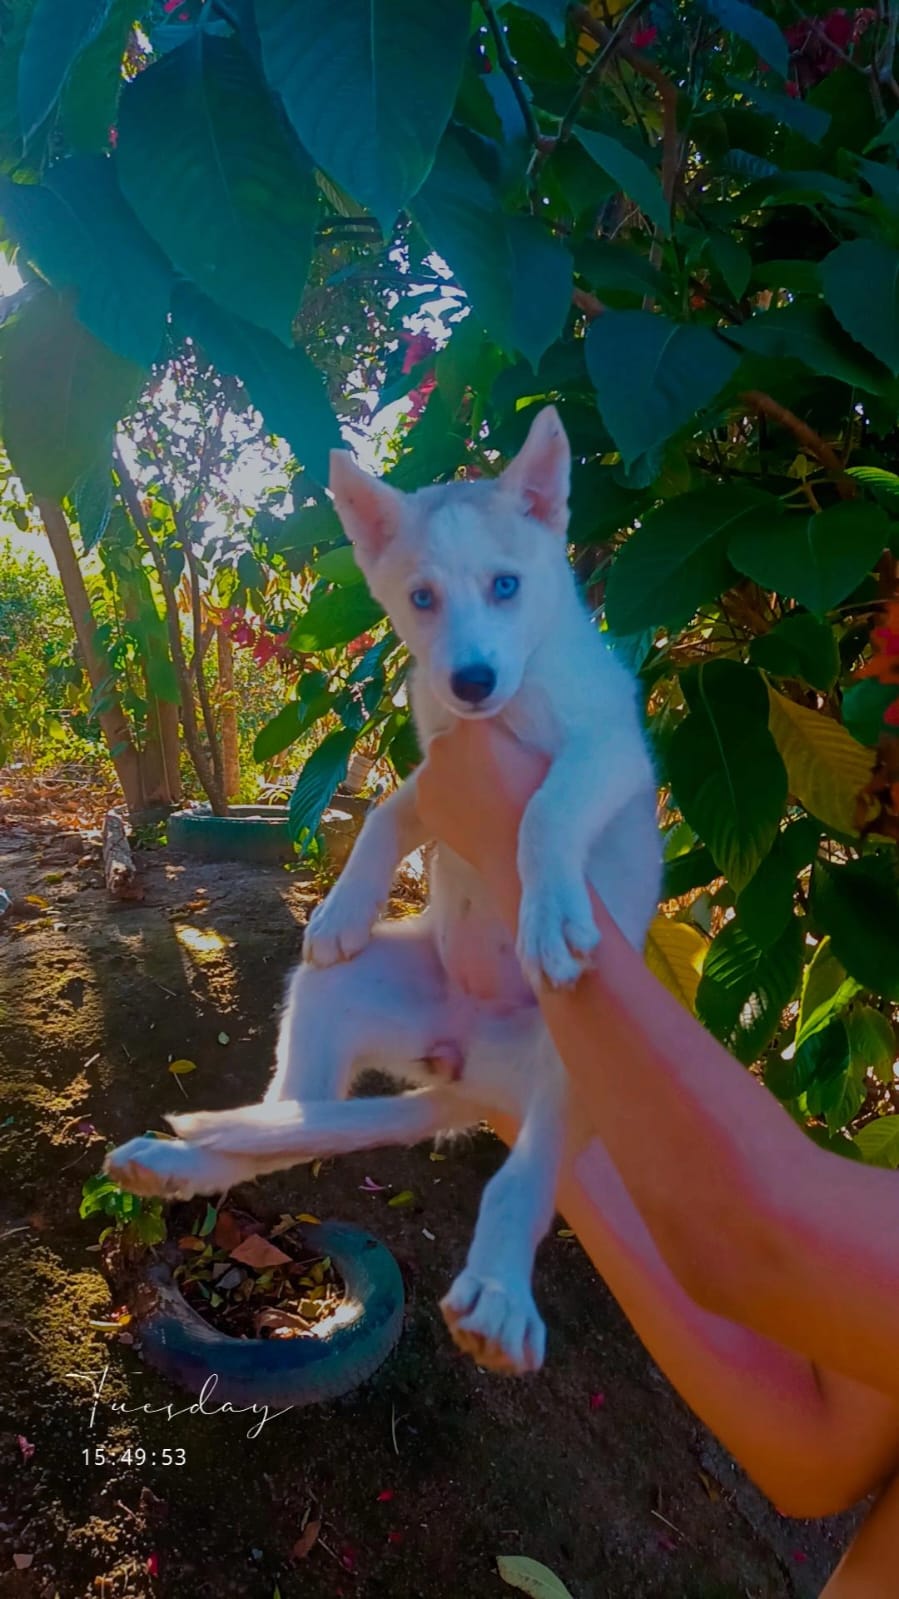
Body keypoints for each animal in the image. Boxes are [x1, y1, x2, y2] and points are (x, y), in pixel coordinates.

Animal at [108, 409, 662, 1375]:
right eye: (422, 598)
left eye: (506, 586)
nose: (470, 680)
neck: (505, 708)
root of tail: (472, 1071)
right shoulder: (435, 770)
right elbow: (385, 815)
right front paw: (343, 905)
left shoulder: (610, 749)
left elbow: (546, 808)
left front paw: (550, 904)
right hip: (345, 999)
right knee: (284, 1119)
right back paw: (186, 1164)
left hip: (585, 1052)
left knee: (524, 1177)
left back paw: (501, 1291)